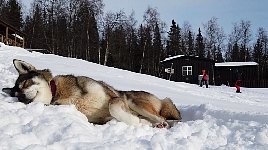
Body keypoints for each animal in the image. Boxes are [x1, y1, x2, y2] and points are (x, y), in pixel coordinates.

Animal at [2, 59, 181, 127]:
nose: (23, 97)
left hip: (134, 101)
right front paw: (141, 123)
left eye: (25, 84)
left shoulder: (113, 98)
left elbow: (113, 106)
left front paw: (136, 121)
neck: (59, 93)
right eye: (17, 97)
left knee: (164, 118)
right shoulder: (100, 120)